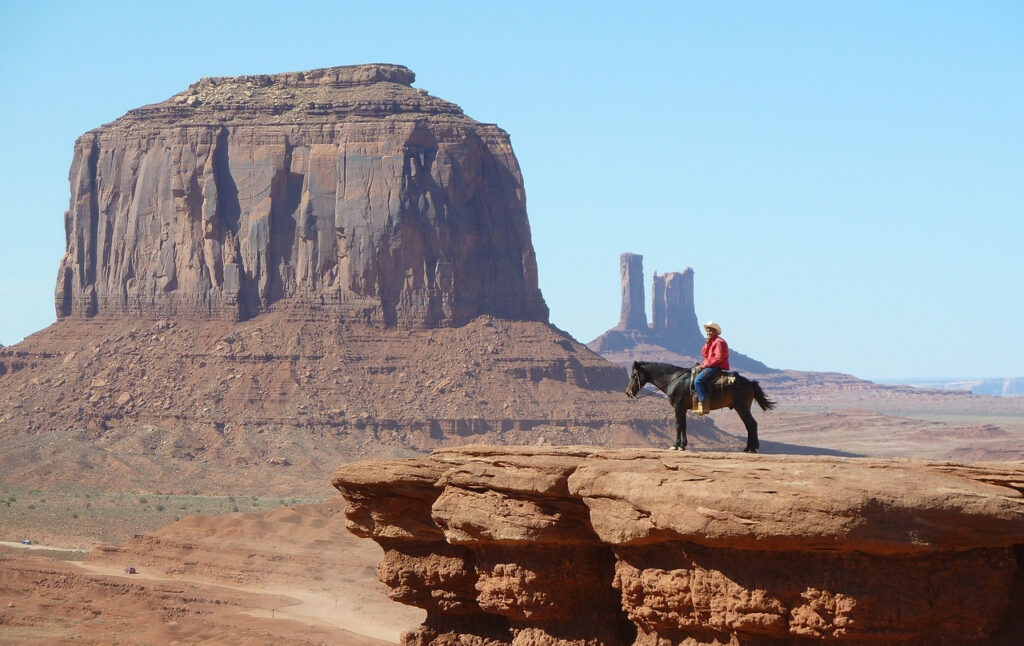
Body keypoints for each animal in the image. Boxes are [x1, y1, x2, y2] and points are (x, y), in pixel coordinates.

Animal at [622, 362, 774, 452]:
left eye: (633, 375)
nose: (628, 392)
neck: (674, 379)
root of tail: (750, 383)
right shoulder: (683, 408)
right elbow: (684, 425)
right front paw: (683, 445)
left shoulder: (678, 406)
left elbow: (678, 425)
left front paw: (675, 445)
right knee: (750, 425)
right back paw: (749, 448)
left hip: (741, 407)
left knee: (751, 424)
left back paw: (751, 448)